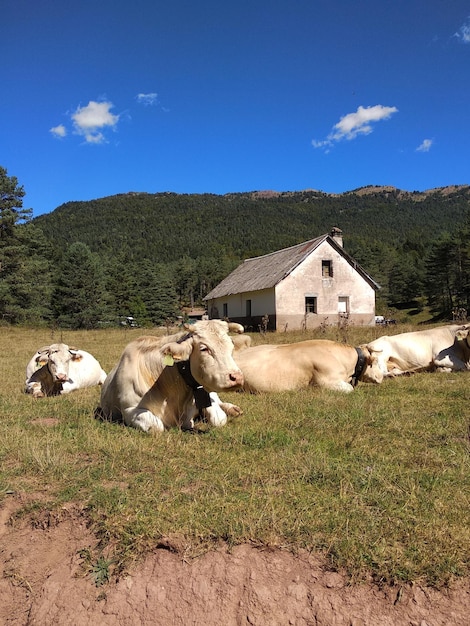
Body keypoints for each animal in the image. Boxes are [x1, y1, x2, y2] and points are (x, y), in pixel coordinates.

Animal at [99, 320, 246, 432]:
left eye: (231, 347)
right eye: (204, 349)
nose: (237, 377)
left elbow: (219, 419)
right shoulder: (129, 410)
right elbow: (157, 427)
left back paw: (233, 409)